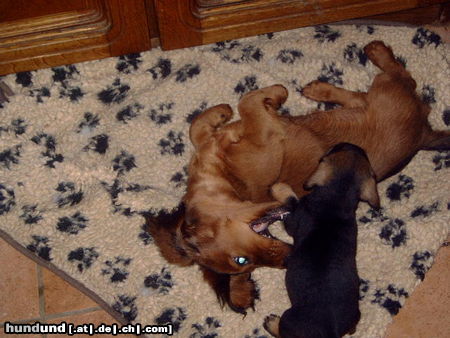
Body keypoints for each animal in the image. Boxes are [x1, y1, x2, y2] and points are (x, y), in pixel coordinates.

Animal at [146, 41, 448, 312]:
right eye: (245, 264)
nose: (289, 260)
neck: (229, 180)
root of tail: (424, 135)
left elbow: (207, 122)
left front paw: (227, 109)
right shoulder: (265, 136)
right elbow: (244, 105)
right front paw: (272, 96)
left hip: (377, 98)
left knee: (392, 82)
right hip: (384, 96)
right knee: (396, 80)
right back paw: (347, 71)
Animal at [264, 143, 380, 338]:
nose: (352, 144)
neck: (338, 195)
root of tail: (332, 332)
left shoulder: (294, 219)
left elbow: (291, 201)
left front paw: (279, 187)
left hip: (289, 319)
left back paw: (272, 323)